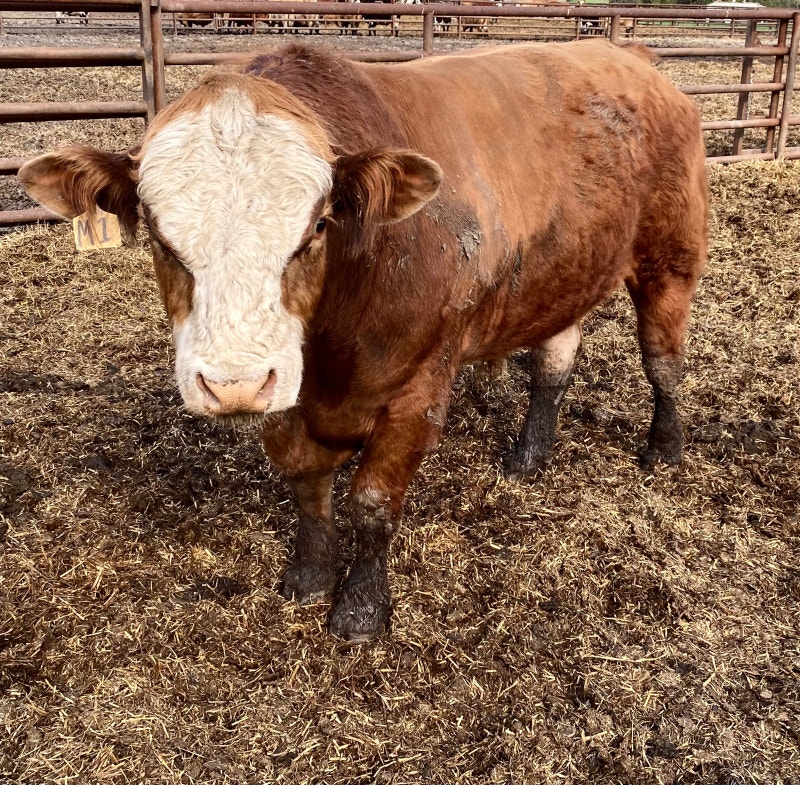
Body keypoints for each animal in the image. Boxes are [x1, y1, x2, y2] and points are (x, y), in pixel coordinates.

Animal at [18, 41, 708, 643]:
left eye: (317, 227)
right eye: (160, 237)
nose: (234, 384)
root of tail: (631, 58)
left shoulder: (420, 388)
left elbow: (373, 502)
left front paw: (360, 609)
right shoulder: (290, 392)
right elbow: (306, 483)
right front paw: (309, 575)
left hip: (670, 259)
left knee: (663, 362)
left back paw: (664, 447)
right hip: (563, 271)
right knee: (554, 359)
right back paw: (530, 451)